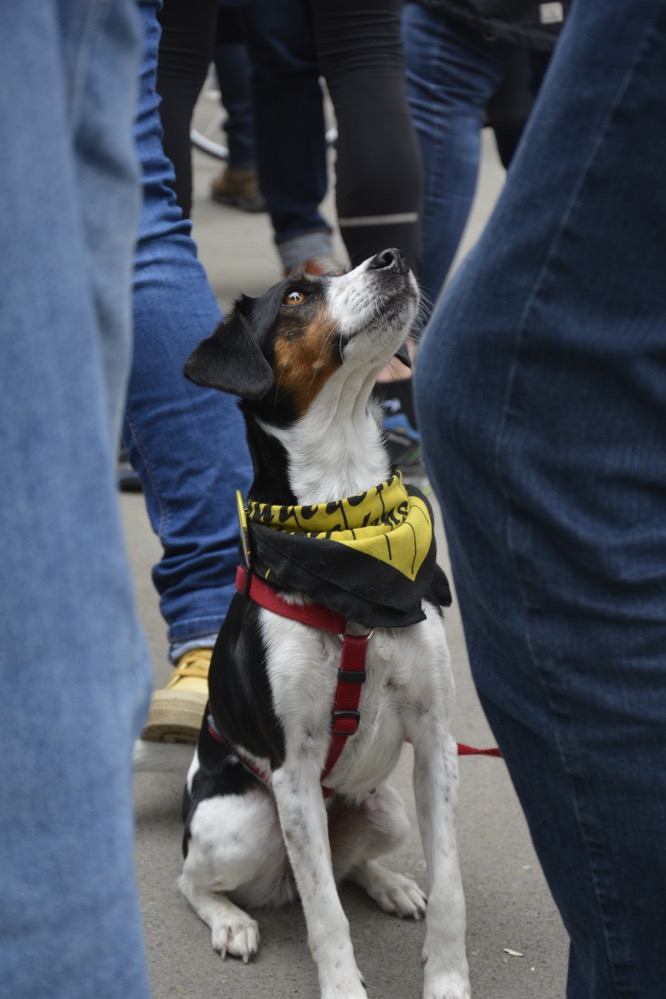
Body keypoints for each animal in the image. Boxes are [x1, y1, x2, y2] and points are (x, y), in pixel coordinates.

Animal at [179, 248, 471, 999]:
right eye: (295, 296)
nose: (392, 257)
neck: (348, 527)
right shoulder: (293, 769)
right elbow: (325, 915)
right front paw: (343, 987)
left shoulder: (436, 738)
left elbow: (450, 885)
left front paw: (447, 979)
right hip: (243, 818)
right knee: (196, 878)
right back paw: (232, 921)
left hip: (385, 806)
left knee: (346, 868)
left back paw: (391, 882)